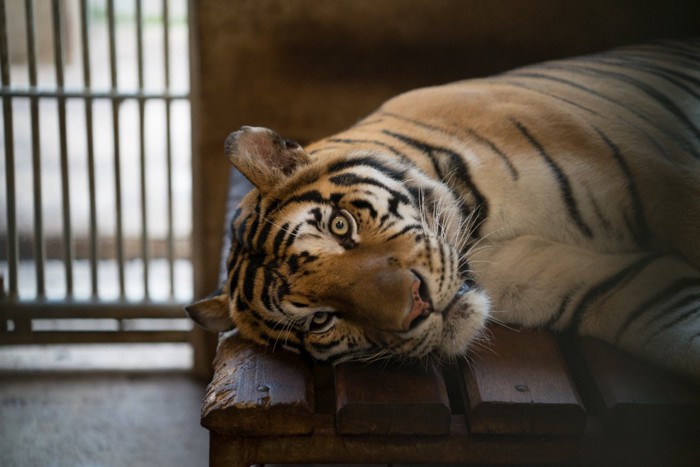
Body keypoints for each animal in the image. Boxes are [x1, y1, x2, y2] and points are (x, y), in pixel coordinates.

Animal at [186, 39, 700, 384]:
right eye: (319, 320)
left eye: (340, 226)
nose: (418, 306)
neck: (481, 241)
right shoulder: (604, 287)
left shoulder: (663, 184)